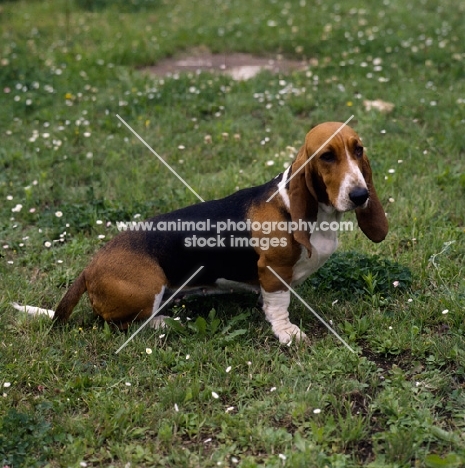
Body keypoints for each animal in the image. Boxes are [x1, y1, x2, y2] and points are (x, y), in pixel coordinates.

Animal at [12, 122, 386, 346]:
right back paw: (163, 323)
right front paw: (287, 332)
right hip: (148, 287)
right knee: (118, 323)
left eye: (358, 150)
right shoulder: (273, 271)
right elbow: (279, 306)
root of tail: (89, 268)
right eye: (326, 157)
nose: (360, 195)